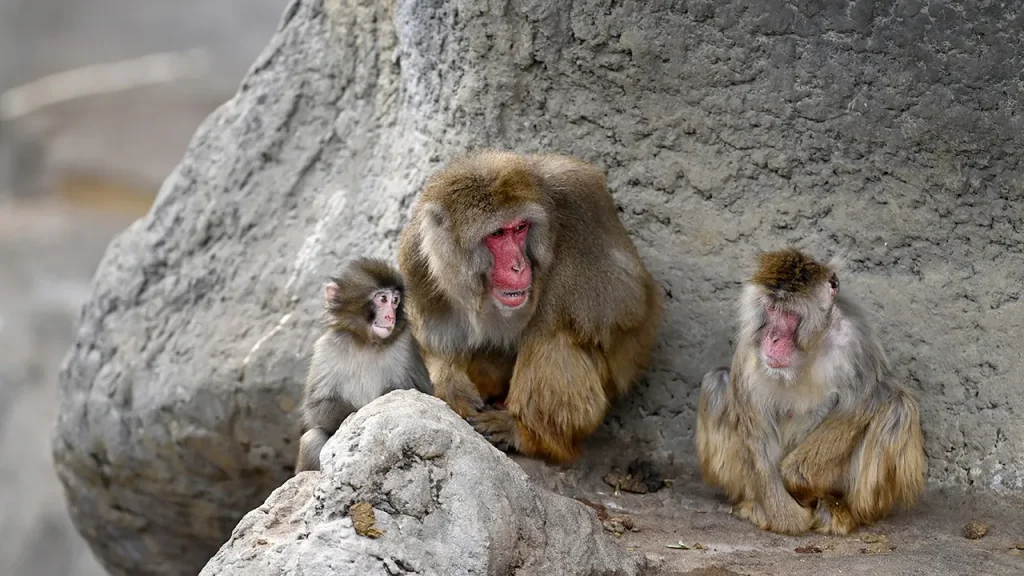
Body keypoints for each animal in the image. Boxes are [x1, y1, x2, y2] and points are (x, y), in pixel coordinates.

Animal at [294, 257, 432, 473]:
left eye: (395, 301)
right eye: (382, 299)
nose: (390, 317)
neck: (366, 342)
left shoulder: (405, 345)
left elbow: (422, 395)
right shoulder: (326, 348)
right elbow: (317, 406)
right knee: (312, 438)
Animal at [396, 149, 664, 463]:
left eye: (520, 229)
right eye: (497, 234)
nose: (518, 266)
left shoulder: (582, 197)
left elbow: (627, 300)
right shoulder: (417, 255)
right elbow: (433, 340)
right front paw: (450, 383)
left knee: (550, 335)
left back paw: (527, 433)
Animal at [696, 247, 926, 535]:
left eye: (789, 314)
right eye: (771, 309)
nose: (772, 338)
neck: (808, 348)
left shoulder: (855, 339)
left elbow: (864, 401)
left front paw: (797, 481)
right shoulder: (750, 350)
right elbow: (756, 428)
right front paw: (788, 518)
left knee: (897, 407)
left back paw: (842, 509)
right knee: (718, 382)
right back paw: (754, 505)